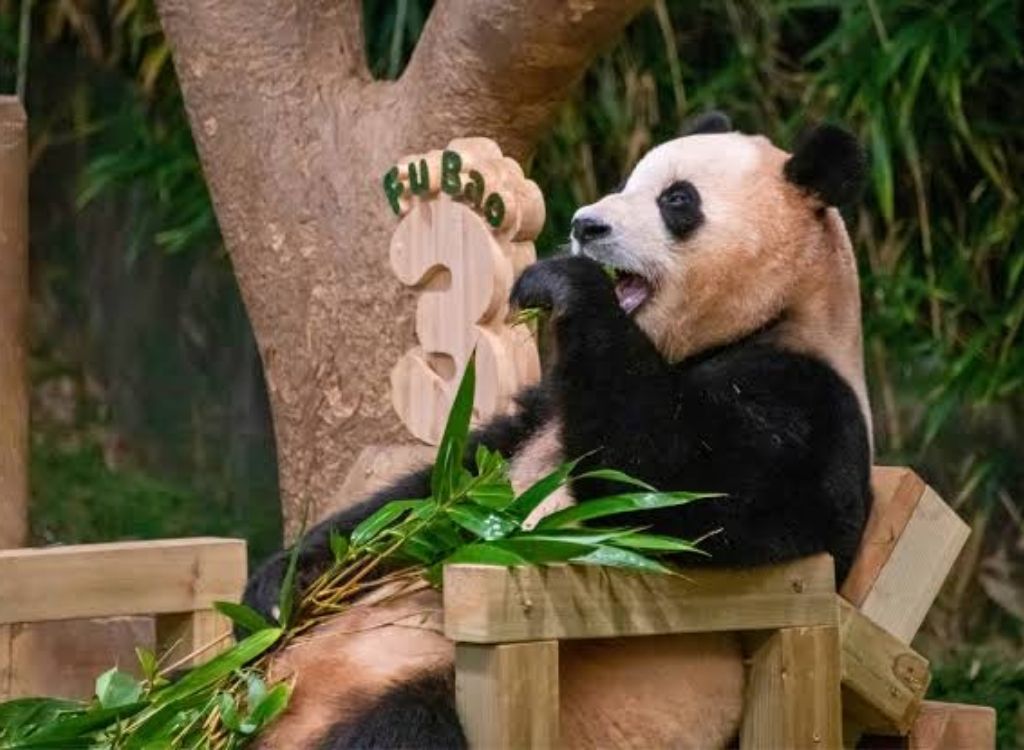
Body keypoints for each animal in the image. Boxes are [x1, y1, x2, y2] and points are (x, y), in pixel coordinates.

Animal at [245, 112, 873, 749]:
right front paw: (285, 577)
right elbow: (438, 487)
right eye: (624, 182)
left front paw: (563, 282)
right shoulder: (542, 409)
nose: (585, 225)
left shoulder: (804, 403)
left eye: (677, 200)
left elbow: (674, 487)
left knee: (401, 725)